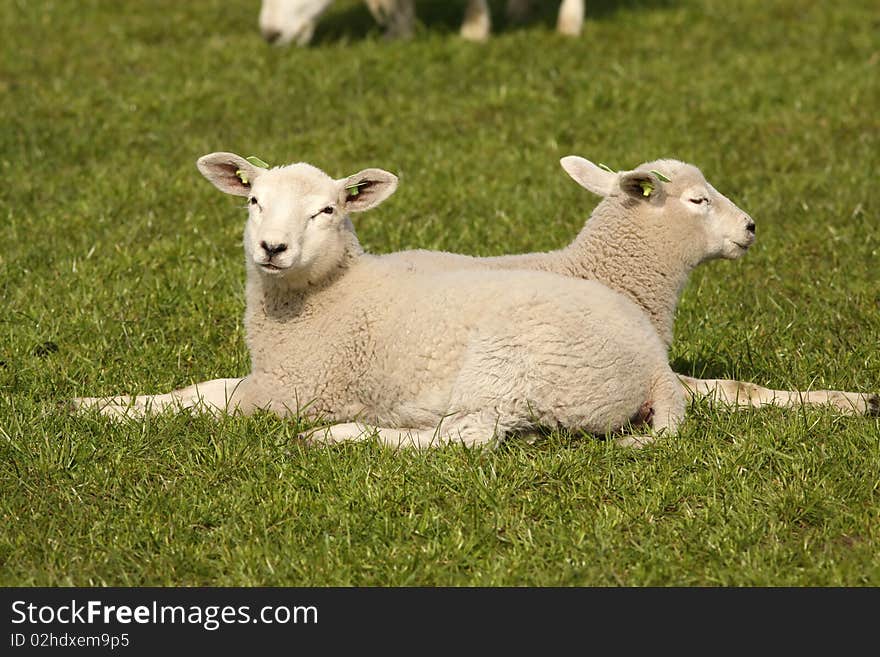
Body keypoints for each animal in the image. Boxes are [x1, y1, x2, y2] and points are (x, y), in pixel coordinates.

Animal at [72, 151, 684, 448]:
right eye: (253, 201)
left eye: (327, 210)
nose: (273, 248)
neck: (329, 294)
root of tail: (655, 364)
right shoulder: (276, 377)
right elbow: (195, 391)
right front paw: (94, 404)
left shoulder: (296, 390)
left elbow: (201, 403)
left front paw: (112, 411)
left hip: (515, 366)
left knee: (467, 439)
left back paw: (339, 437)